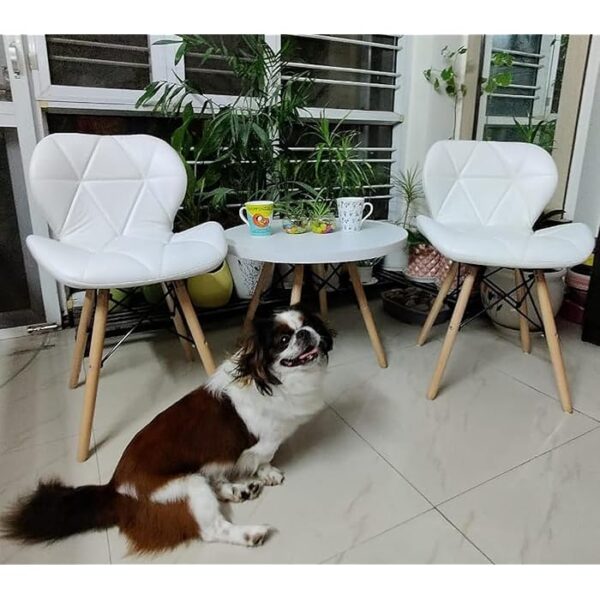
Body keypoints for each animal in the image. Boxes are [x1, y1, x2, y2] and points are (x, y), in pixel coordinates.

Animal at [0, 304, 332, 552]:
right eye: (283, 341)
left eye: (307, 325)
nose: (305, 334)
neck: (274, 380)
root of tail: (115, 488)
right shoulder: (265, 441)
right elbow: (263, 457)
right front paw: (266, 472)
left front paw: (258, 477)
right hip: (189, 487)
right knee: (211, 529)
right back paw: (251, 532)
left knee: (215, 485)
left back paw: (239, 488)